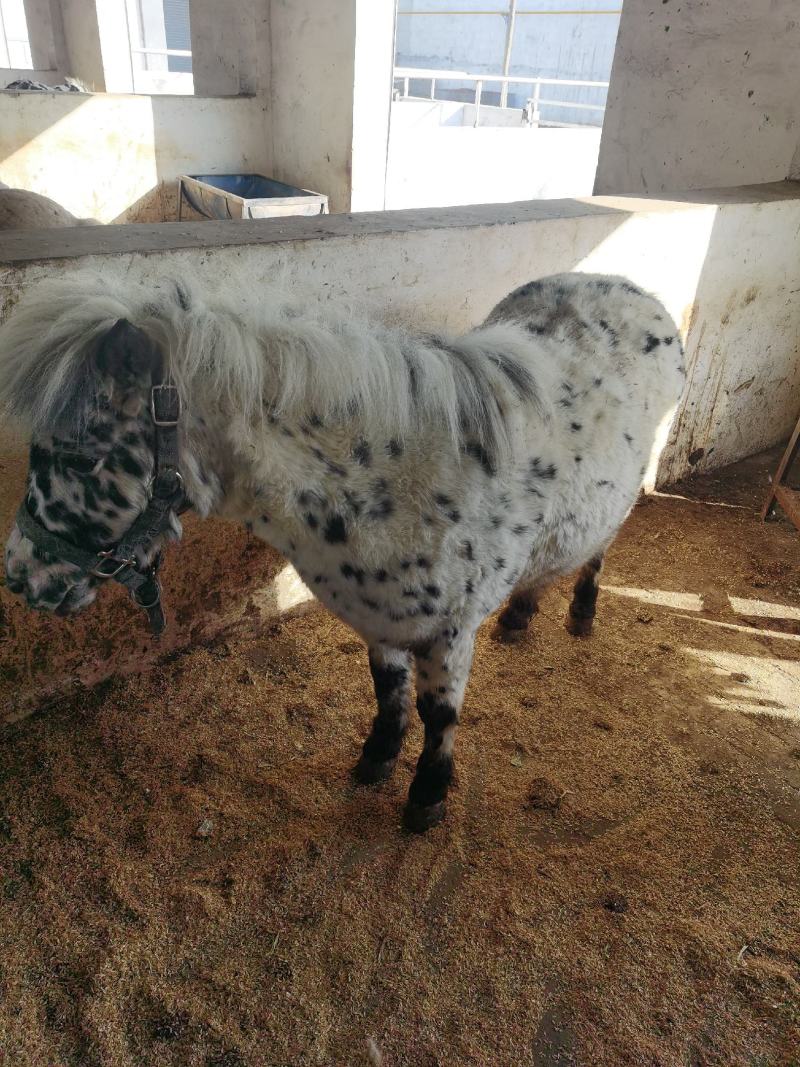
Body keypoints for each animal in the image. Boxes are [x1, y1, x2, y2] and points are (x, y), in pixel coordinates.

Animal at [0, 270, 685, 830]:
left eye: (82, 460)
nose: (20, 577)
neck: (402, 476)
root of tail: (637, 293)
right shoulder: (381, 615)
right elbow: (389, 693)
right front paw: (374, 762)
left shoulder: (450, 629)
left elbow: (439, 716)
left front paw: (427, 799)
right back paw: (520, 616)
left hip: (628, 487)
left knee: (598, 547)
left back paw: (581, 614)